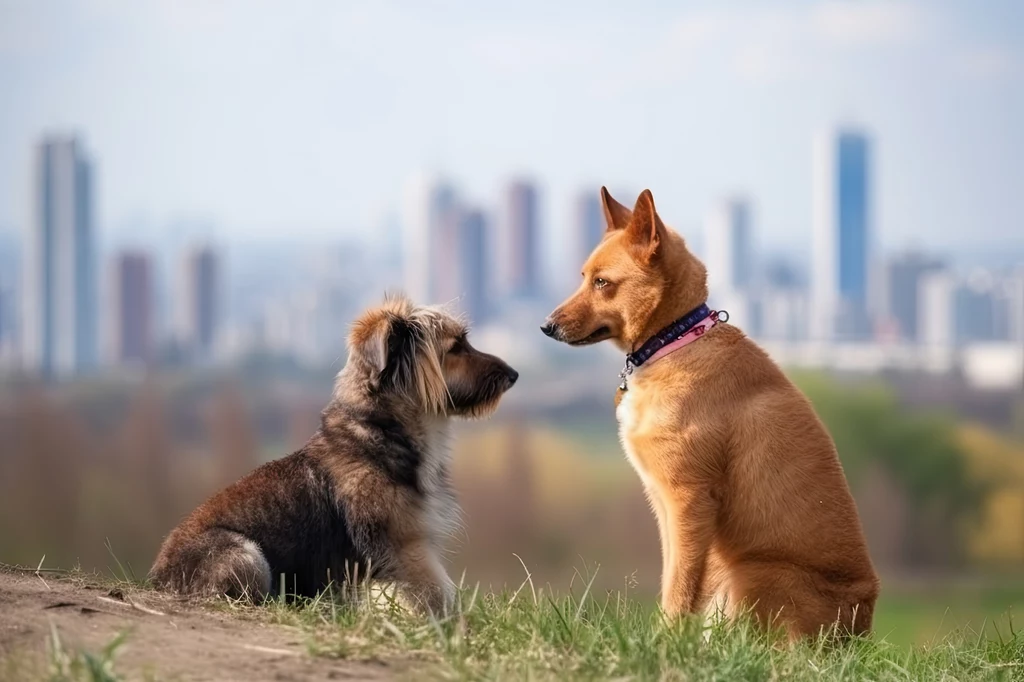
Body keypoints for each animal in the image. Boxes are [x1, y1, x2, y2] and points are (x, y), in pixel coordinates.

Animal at [149, 294, 520, 614]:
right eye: (456, 347)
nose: (514, 375)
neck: (380, 431)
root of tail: (157, 579)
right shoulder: (406, 549)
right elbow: (435, 596)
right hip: (245, 554)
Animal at [544, 187, 880, 638]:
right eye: (583, 277)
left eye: (602, 282)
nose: (546, 326)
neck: (676, 339)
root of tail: (856, 633)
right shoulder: (665, 506)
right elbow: (673, 578)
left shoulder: (689, 499)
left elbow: (680, 587)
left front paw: (666, 641)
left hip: (750, 573)